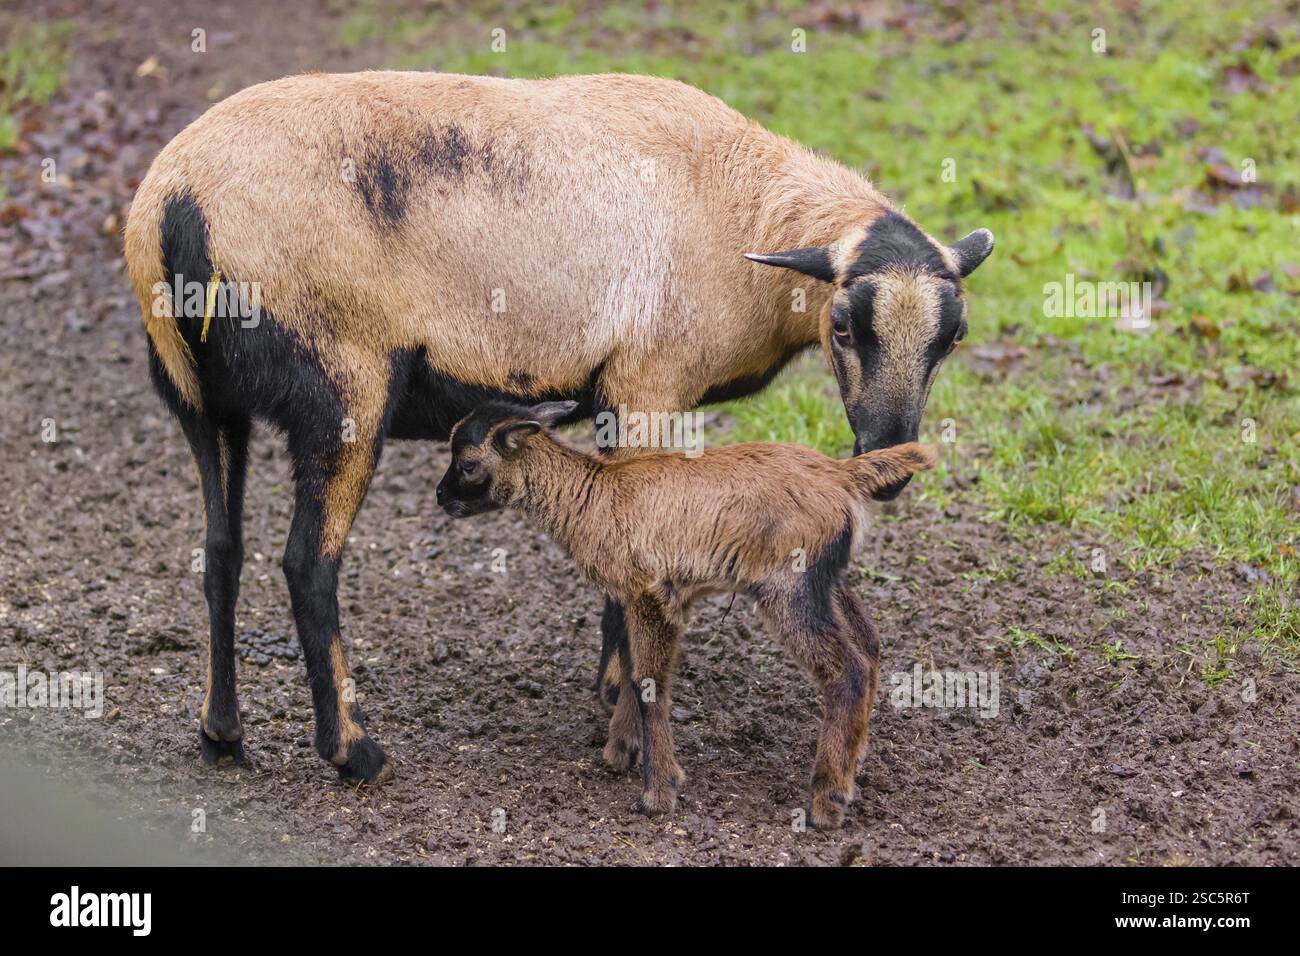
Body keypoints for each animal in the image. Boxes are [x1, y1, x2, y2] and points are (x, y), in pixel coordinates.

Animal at [124, 71, 991, 782]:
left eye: (953, 336)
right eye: (843, 325)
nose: (890, 457)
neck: (740, 209)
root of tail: (176, 203)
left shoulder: (611, 392)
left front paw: (612, 691)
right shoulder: (650, 383)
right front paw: (629, 718)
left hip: (201, 402)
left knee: (221, 553)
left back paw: (222, 733)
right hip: (344, 386)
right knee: (308, 564)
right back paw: (354, 752)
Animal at [435, 399, 938, 827]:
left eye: (467, 464)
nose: (441, 496)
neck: (591, 498)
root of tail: (843, 475)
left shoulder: (652, 594)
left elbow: (649, 685)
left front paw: (658, 794)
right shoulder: (635, 596)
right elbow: (632, 672)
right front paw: (620, 752)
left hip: (789, 588)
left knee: (846, 668)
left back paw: (826, 803)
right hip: (826, 581)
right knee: (869, 644)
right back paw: (856, 763)